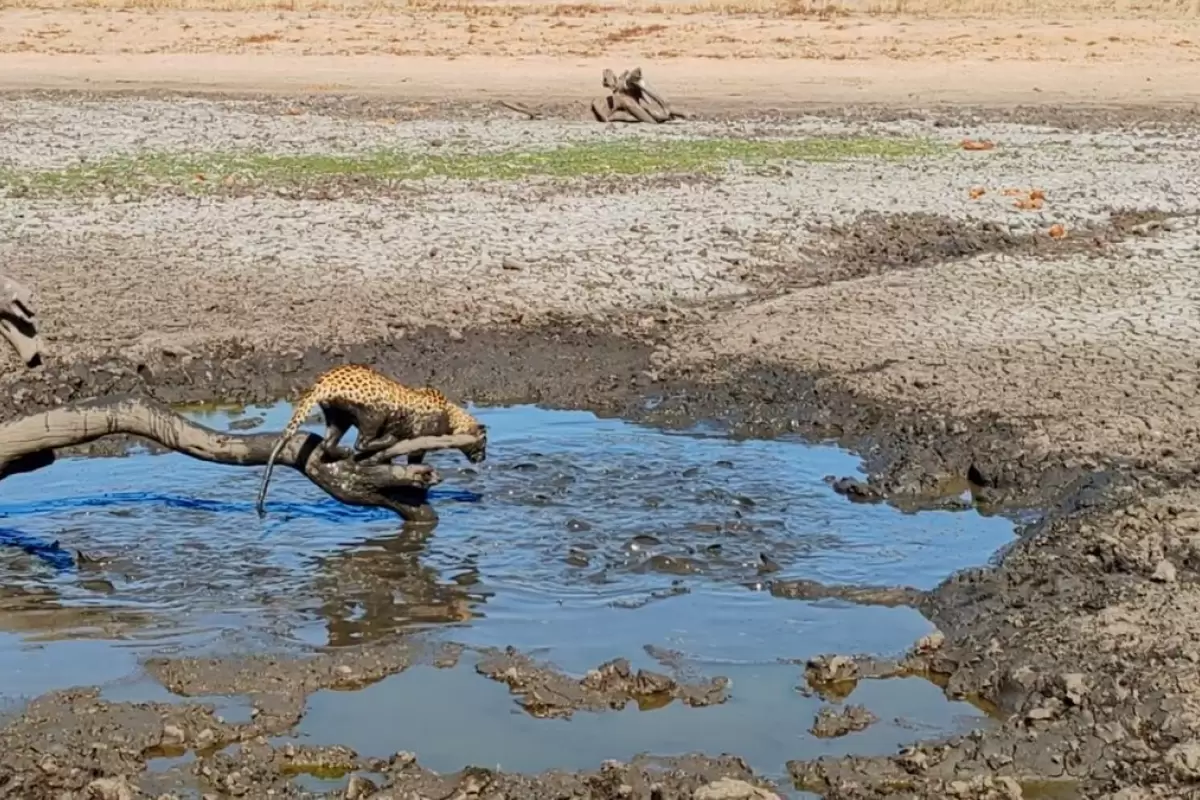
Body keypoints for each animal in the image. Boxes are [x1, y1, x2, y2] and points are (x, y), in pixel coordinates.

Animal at [253, 364, 487, 515]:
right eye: (484, 441)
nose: (483, 457)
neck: (452, 416)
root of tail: (325, 381)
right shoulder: (420, 438)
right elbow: (415, 459)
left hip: (338, 416)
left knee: (328, 443)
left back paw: (343, 451)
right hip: (372, 414)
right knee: (361, 443)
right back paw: (384, 440)